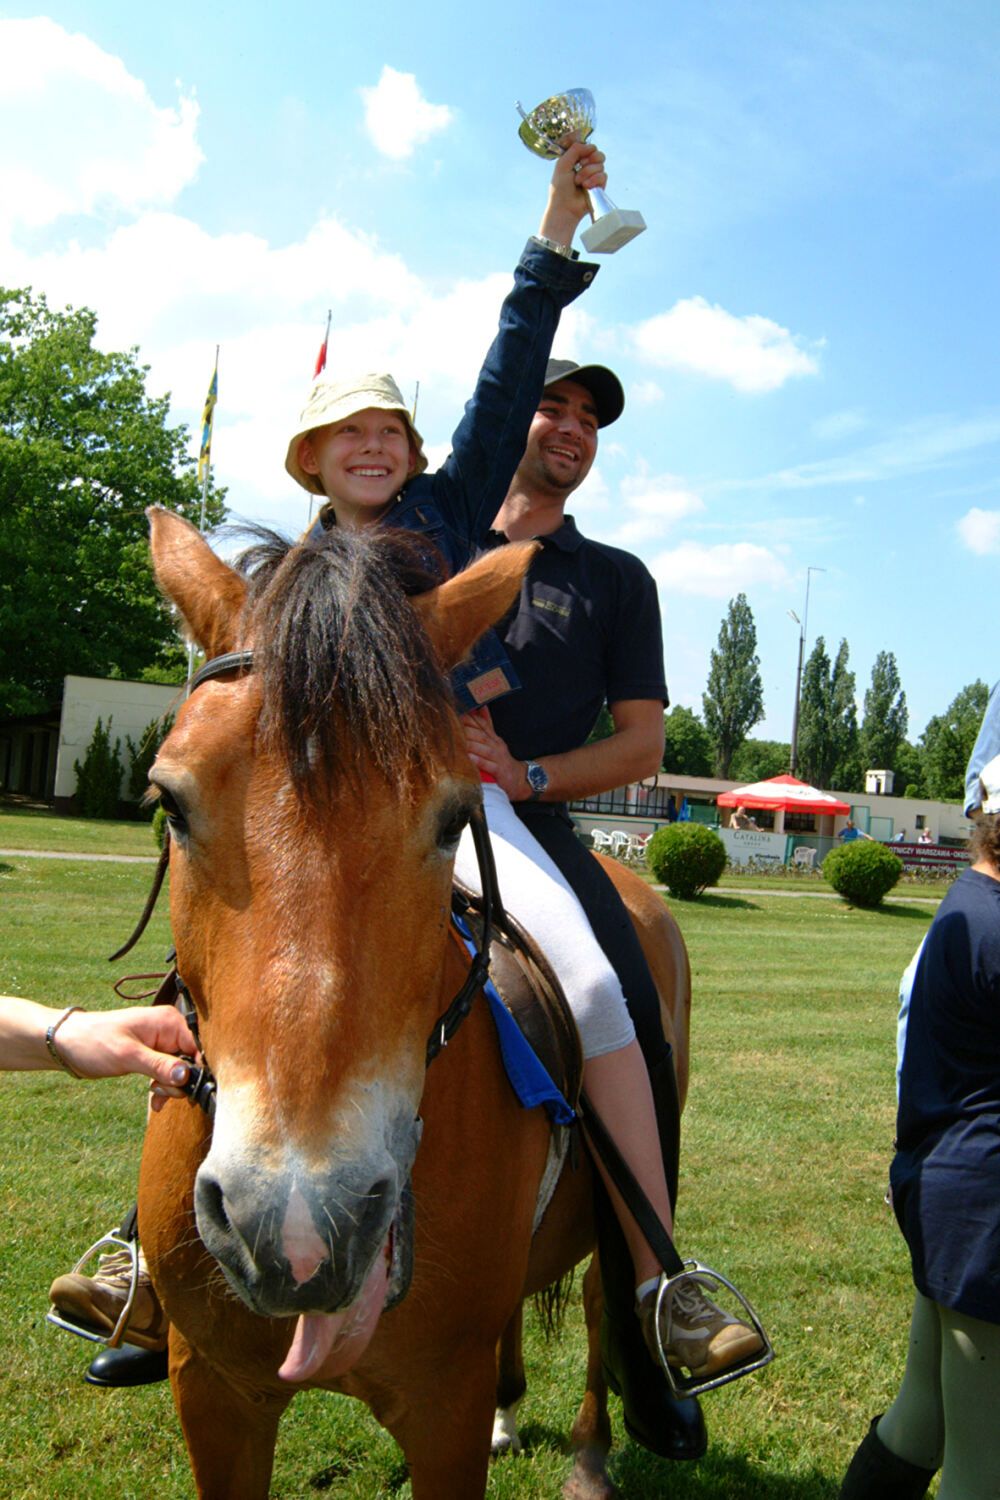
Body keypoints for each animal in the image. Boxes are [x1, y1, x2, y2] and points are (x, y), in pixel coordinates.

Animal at [138, 510, 689, 1494]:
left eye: (450, 819)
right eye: (169, 800)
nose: (298, 1227)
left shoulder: (442, 1411)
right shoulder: (211, 1390)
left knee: (601, 1299)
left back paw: (591, 1453)